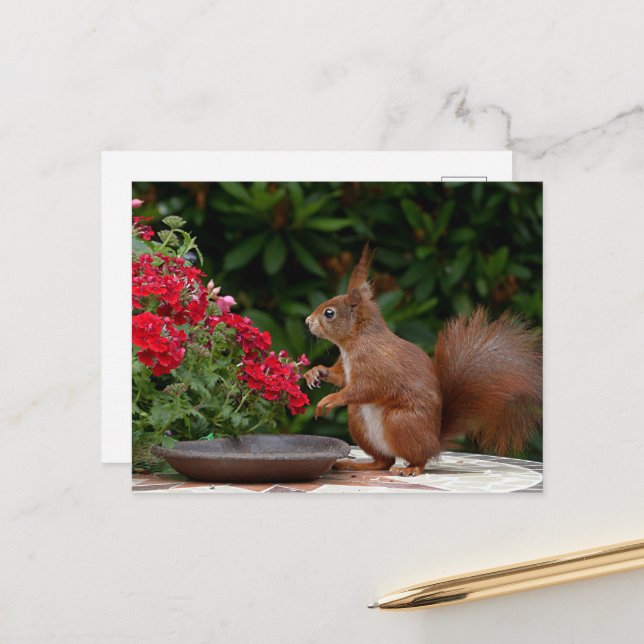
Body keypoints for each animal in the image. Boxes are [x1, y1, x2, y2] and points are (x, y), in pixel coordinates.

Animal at [304, 244, 542, 476]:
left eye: (329, 313)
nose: (307, 321)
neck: (354, 343)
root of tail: (435, 441)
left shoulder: (376, 364)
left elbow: (365, 388)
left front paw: (329, 400)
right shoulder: (346, 368)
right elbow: (340, 377)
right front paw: (315, 372)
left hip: (400, 422)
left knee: (418, 459)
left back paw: (410, 468)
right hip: (358, 419)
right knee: (384, 461)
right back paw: (356, 465)